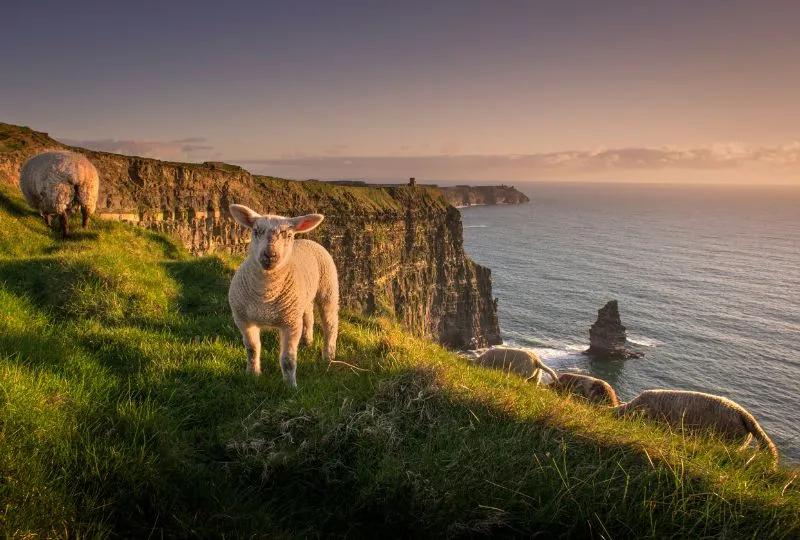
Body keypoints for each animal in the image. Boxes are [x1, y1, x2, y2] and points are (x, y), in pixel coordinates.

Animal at [227, 203, 339, 388]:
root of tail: (307, 240)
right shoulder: (243, 320)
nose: (270, 255)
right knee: (308, 316)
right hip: (302, 299)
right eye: (256, 231)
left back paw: (328, 356)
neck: (265, 296)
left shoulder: (290, 324)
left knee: (330, 324)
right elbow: (252, 349)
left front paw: (290, 387)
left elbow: (288, 359)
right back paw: (307, 341)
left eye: (288, 235)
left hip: (328, 289)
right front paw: (252, 374)